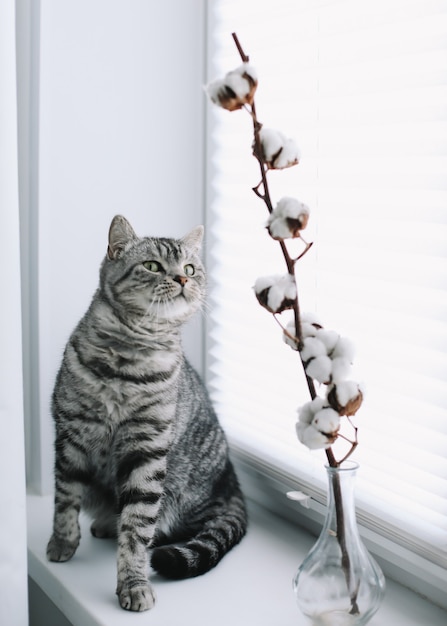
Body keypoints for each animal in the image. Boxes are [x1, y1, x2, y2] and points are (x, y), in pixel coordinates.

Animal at [46, 214, 248, 608]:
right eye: (153, 266)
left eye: (190, 268)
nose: (183, 279)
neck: (128, 361)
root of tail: (230, 480)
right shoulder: (71, 436)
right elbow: (65, 499)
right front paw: (62, 542)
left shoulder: (147, 450)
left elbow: (138, 527)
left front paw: (133, 582)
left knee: (184, 527)